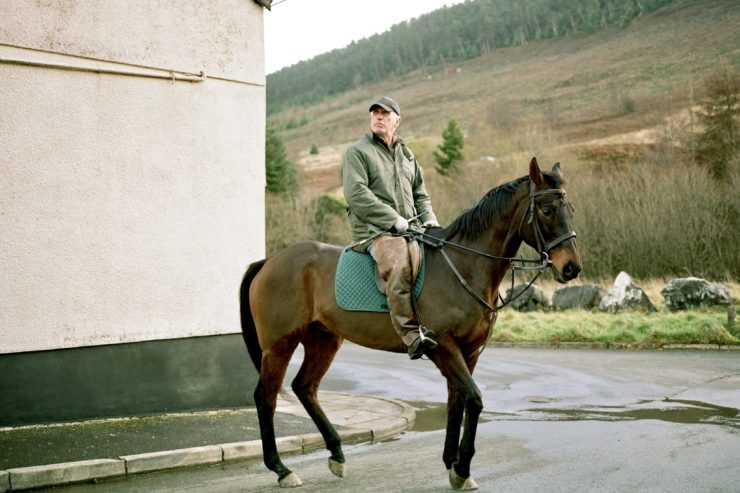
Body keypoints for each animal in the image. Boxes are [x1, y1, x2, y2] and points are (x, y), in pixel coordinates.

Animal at [240, 158, 580, 488]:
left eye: (570, 209)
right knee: (266, 397)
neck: (463, 266)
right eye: (547, 210)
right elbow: (473, 399)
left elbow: (456, 401)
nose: (572, 268)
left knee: (305, 387)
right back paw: (281, 469)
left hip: (323, 340)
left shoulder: (469, 352)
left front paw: (452, 464)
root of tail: (269, 261)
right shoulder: (444, 346)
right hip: (279, 345)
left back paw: (336, 453)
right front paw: (461, 468)